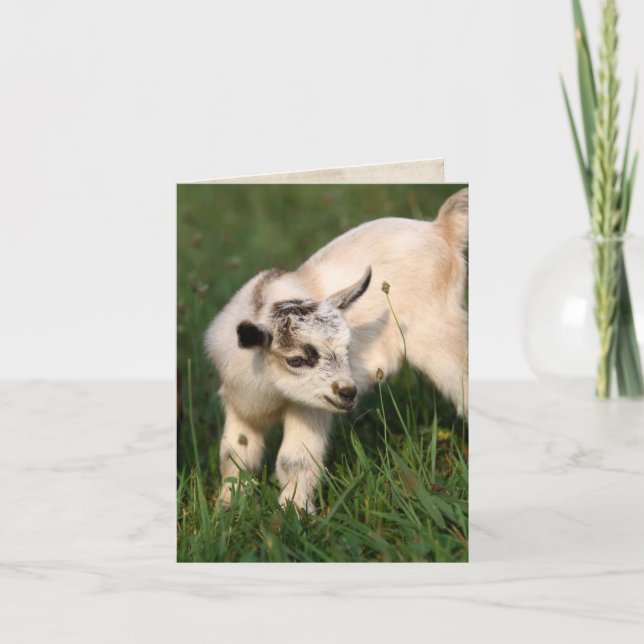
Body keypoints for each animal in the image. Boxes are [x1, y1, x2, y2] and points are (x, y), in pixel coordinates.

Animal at [205, 188, 468, 512]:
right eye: (295, 360)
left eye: (347, 347)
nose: (348, 392)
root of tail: (441, 228)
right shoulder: (240, 405)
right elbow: (234, 459)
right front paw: (228, 510)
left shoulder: (309, 407)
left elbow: (295, 460)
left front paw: (295, 513)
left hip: (440, 333)